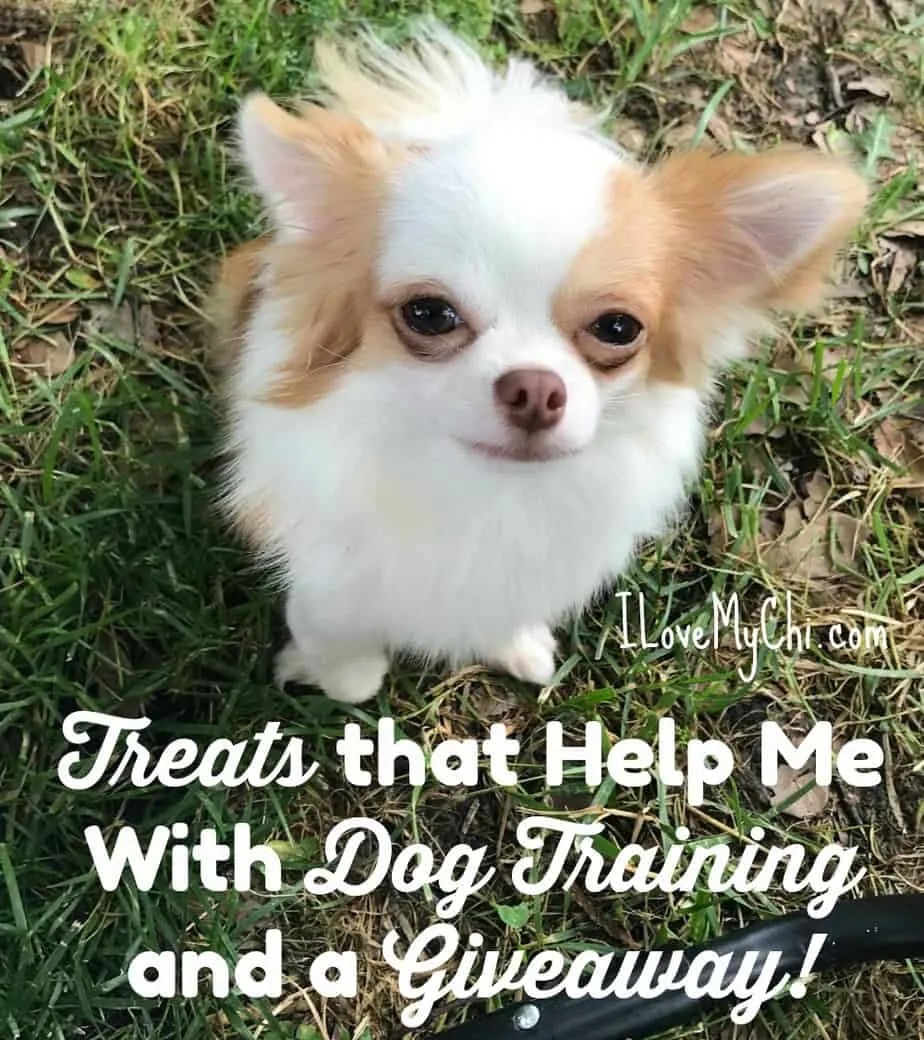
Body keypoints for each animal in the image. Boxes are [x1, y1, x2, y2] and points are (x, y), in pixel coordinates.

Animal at [213, 24, 869, 703]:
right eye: (429, 314)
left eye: (617, 328)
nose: (533, 388)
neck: (484, 496)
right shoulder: (325, 586)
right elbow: (350, 673)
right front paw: (325, 672)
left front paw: (518, 646)